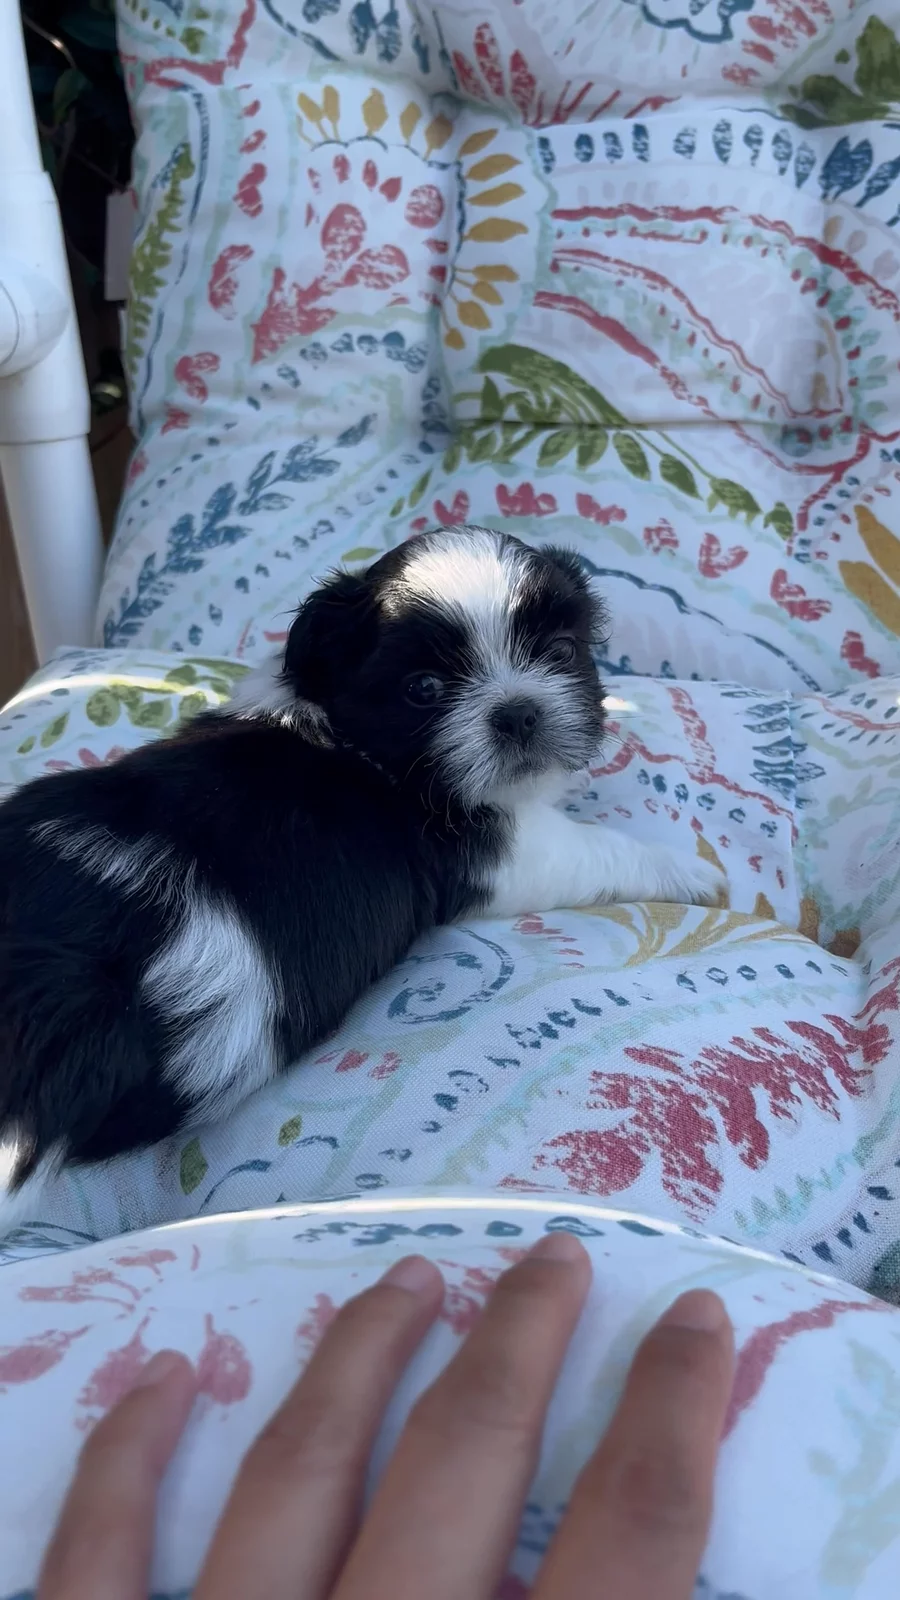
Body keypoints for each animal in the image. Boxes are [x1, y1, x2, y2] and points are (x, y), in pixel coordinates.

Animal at [0, 525, 723, 1218]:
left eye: (562, 652)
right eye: (423, 689)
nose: (518, 712)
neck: (355, 740)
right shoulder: (498, 853)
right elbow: (597, 849)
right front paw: (688, 871)